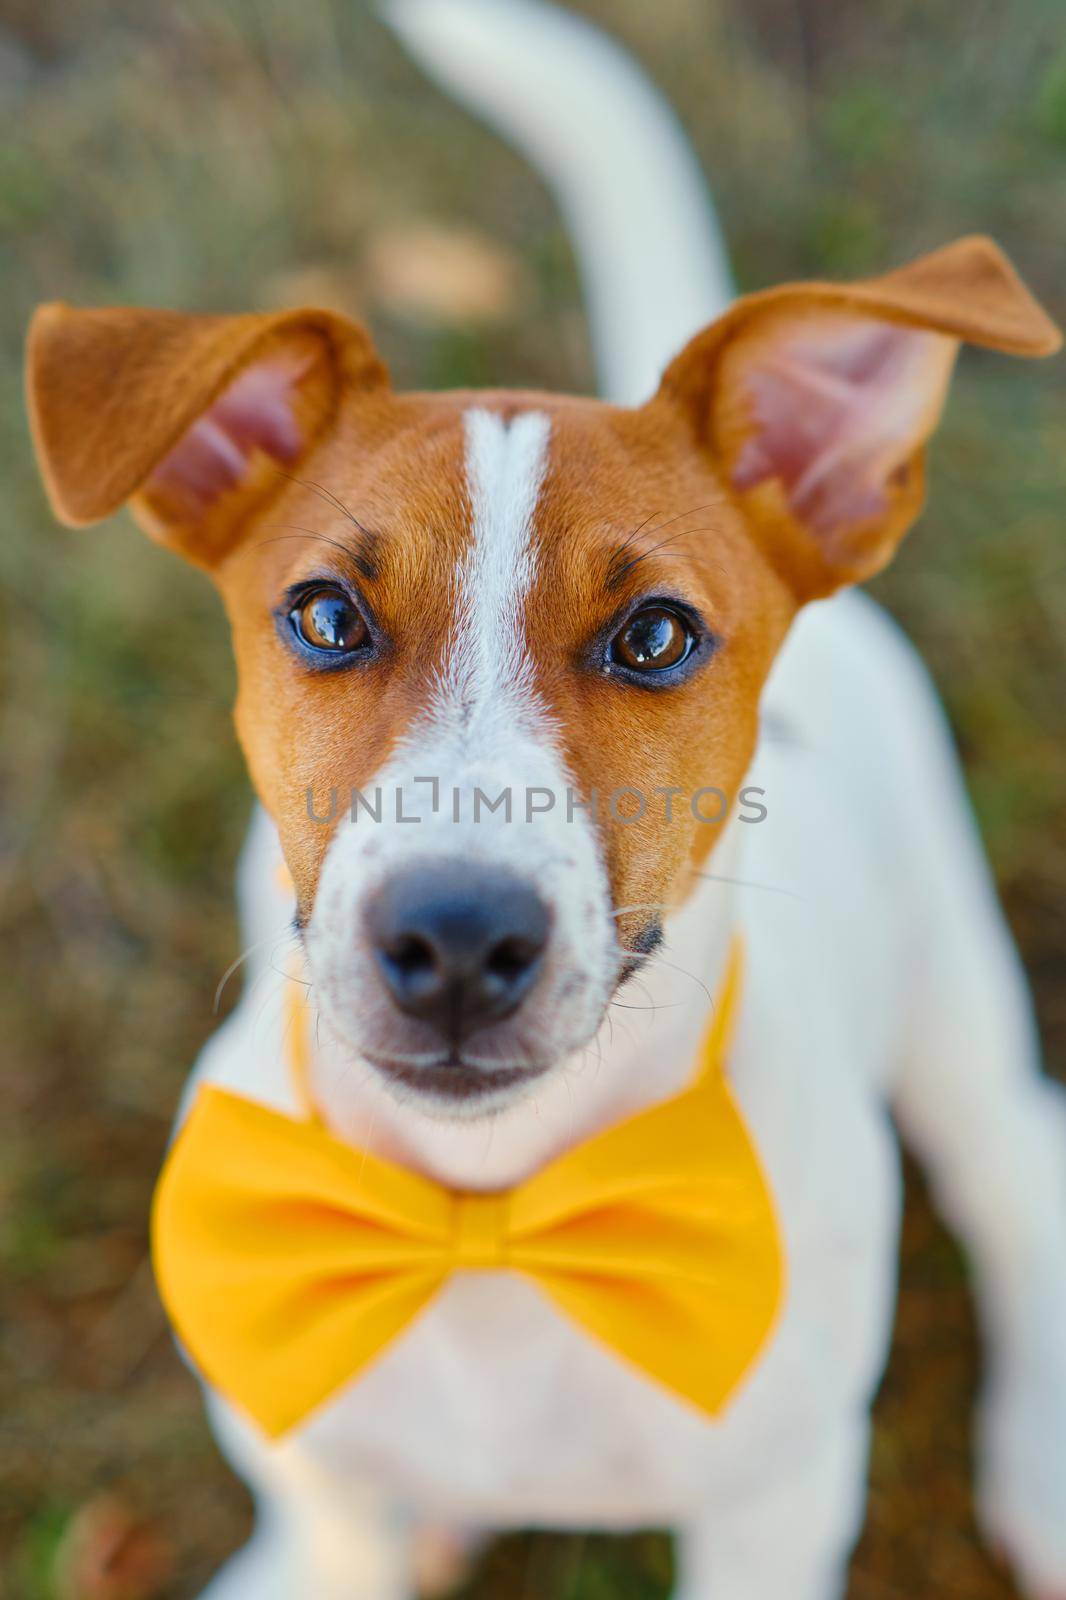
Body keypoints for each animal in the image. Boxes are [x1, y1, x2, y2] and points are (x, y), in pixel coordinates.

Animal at [22, 3, 1062, 1600]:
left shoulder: (774, 1507)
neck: (483, 1213)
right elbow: (338, 1528)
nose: (455, 938)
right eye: (324, 616)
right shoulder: (305, 1449)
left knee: (1021, 1184)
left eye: (656, 638)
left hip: (952, 1007)